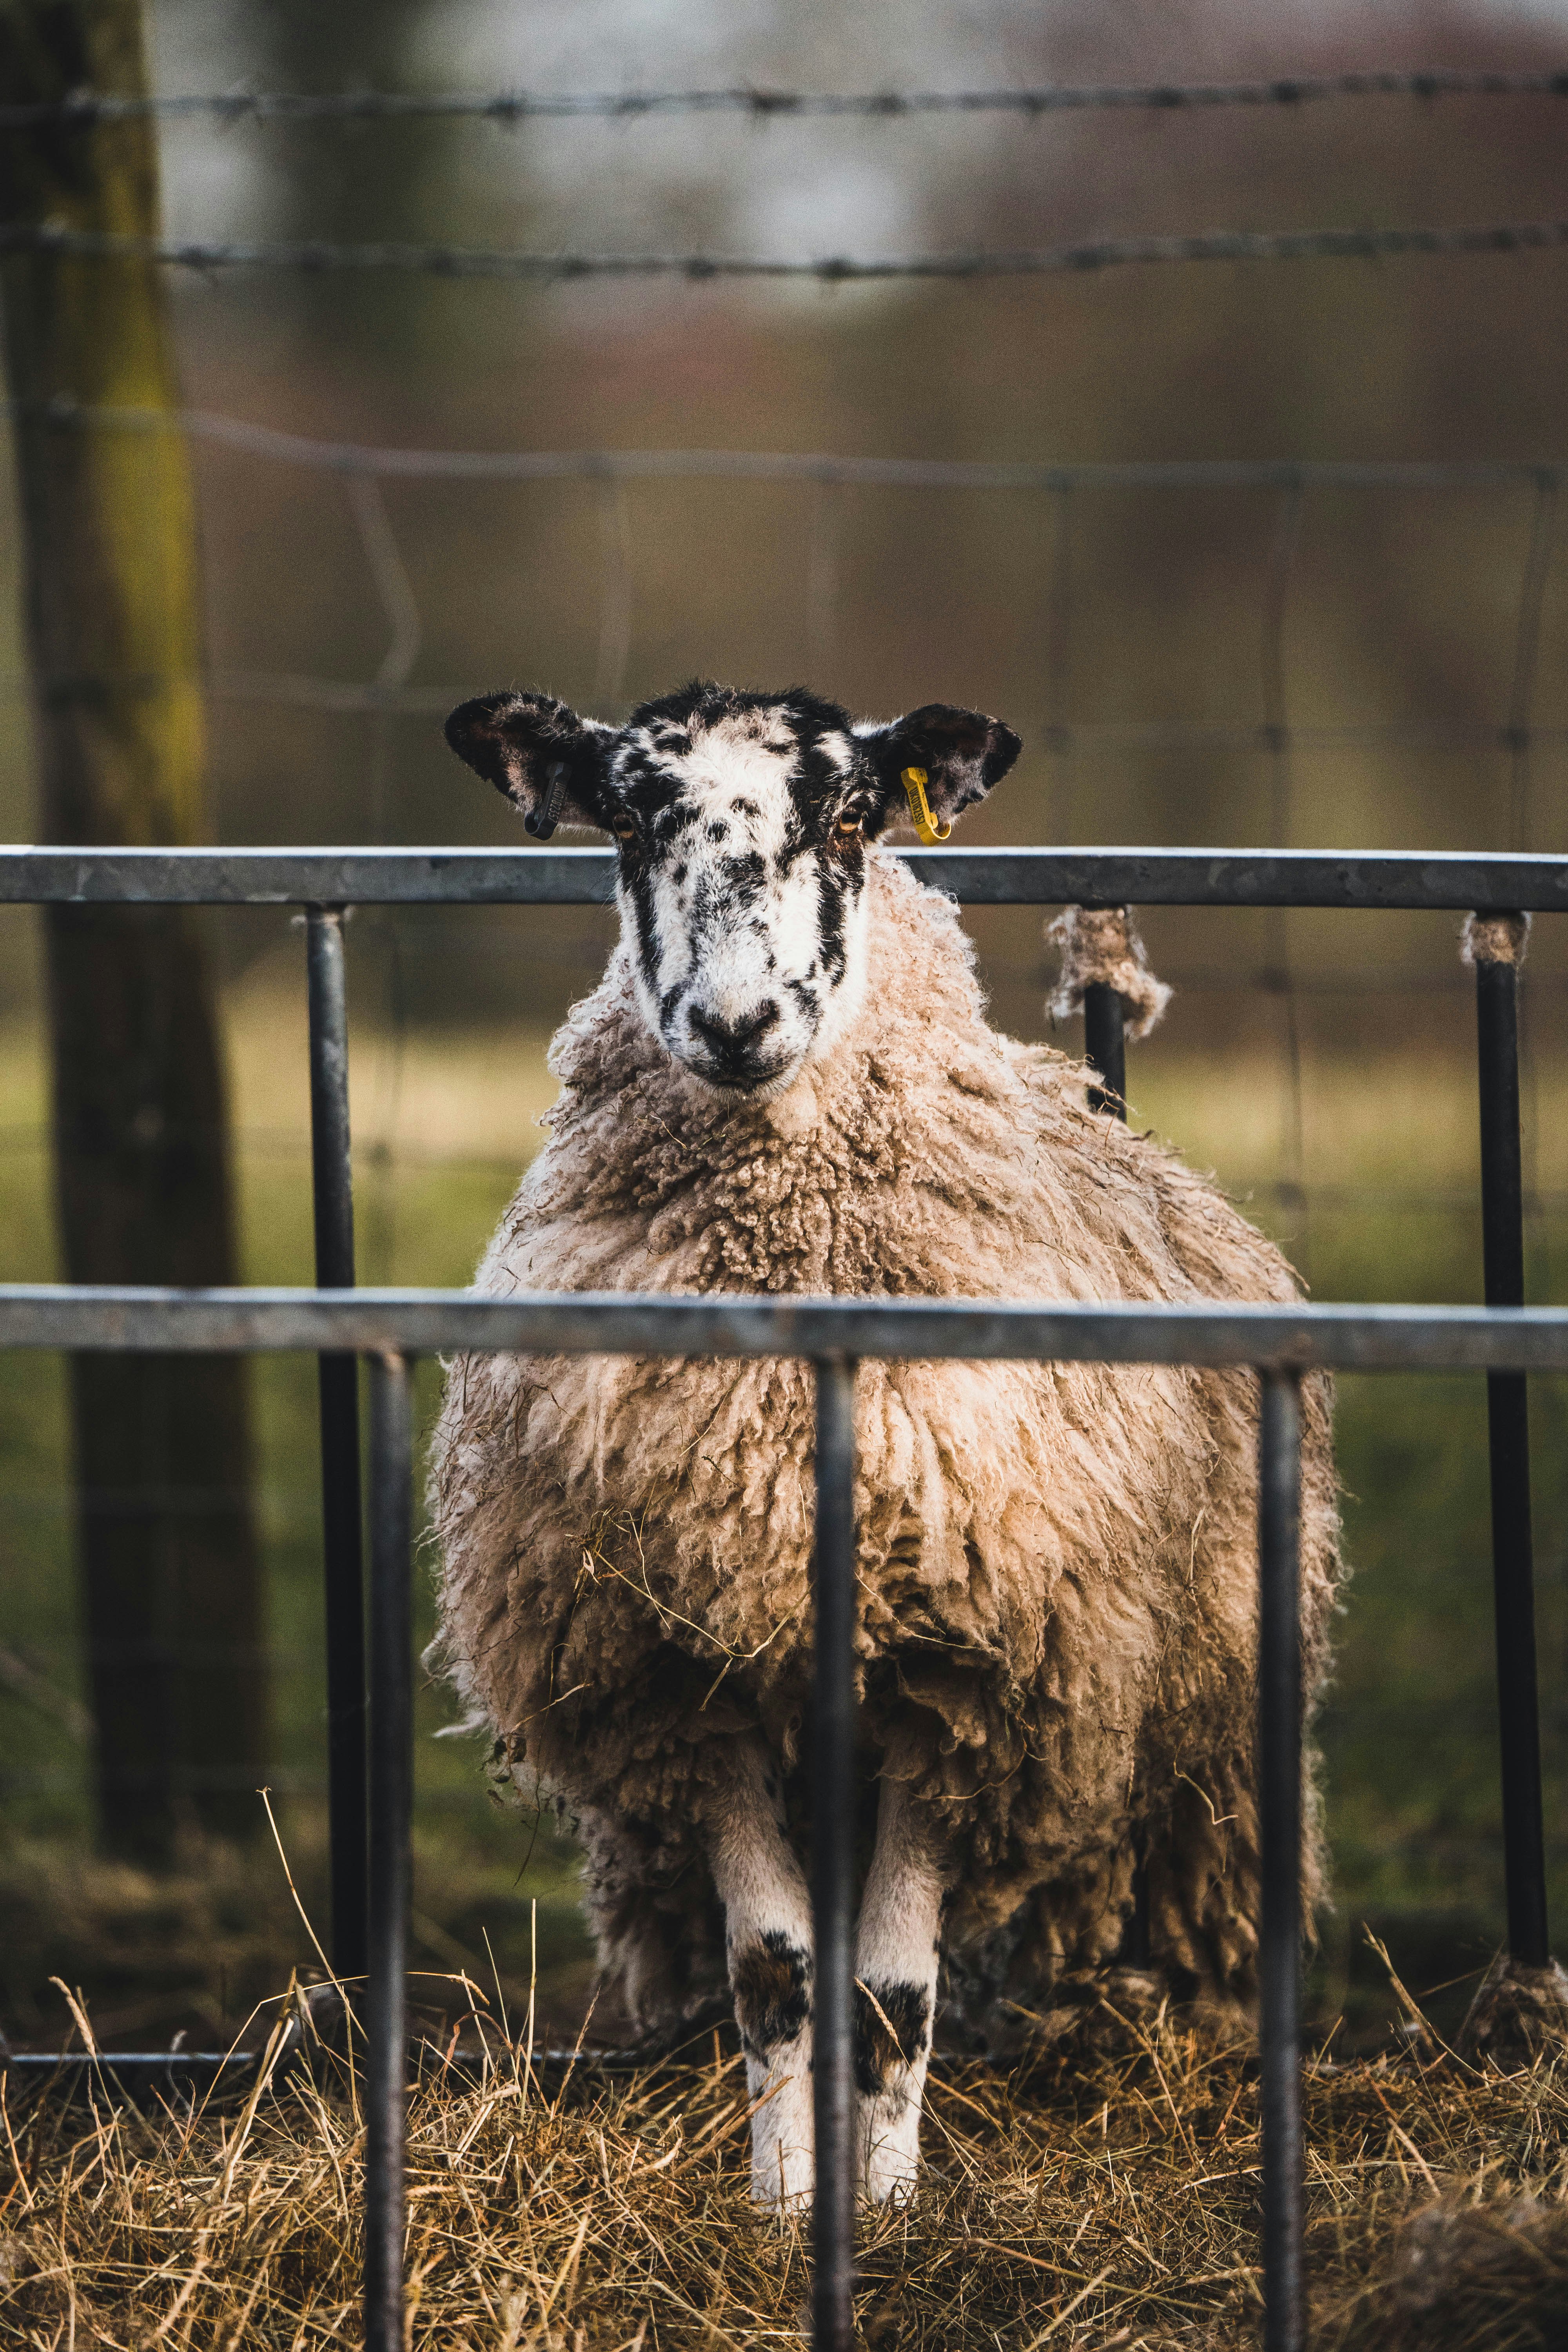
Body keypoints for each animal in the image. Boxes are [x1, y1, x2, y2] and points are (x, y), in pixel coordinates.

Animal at [430, 677, 1335, 2201]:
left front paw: (892, 2208)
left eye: (851, 818)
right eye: (628, 818)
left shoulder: (967, 1672)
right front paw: (788, 2197)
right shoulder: (688, 1674)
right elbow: (780, 1970)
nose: (737, 1022)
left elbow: (892, 1988)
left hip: (1205, 1734)